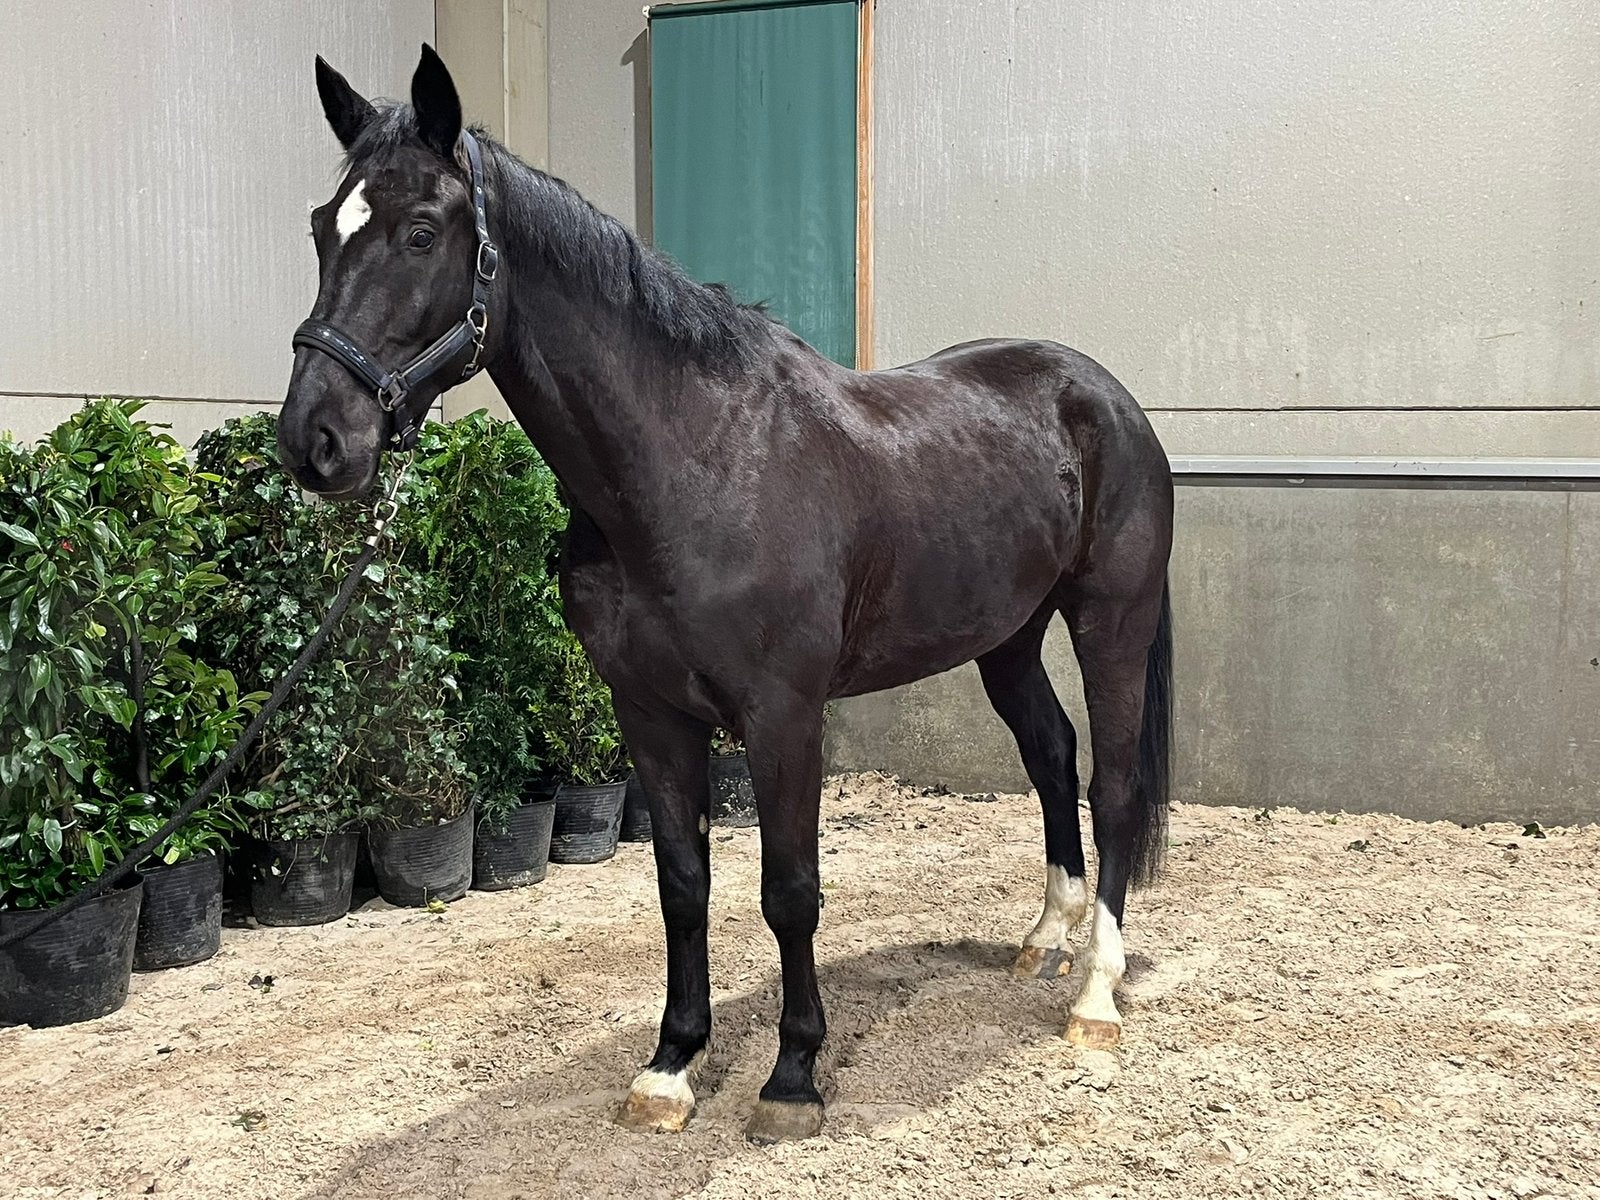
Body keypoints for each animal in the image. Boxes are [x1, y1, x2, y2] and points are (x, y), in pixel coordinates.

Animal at [279, 45, 1174, 1145]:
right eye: (323, 226)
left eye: (420, 229)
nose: (316, 441)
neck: (695, 462)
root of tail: (1101, 395)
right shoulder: (650, 712)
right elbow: (681, 885)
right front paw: (670, 1066)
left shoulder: (783, 715)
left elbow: (789, 890)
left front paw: (792, 1075)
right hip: (1004, 635)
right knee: (1051, 755)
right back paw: (1044, 939)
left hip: (1110, 620)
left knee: (1113, 785)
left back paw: (1093, 993)